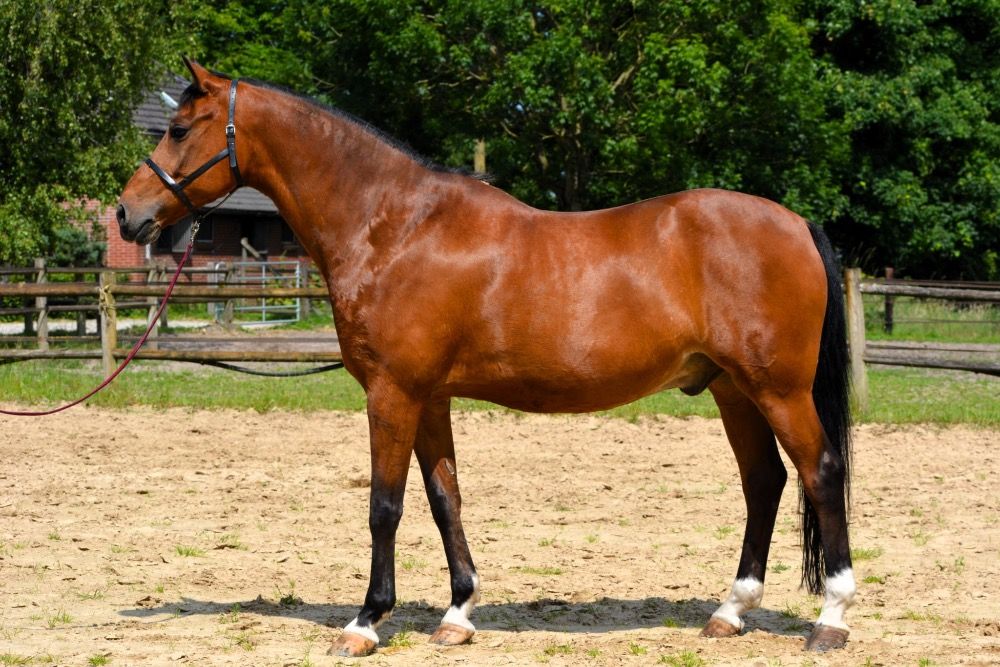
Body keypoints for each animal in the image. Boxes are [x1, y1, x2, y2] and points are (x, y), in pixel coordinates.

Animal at [117, 58, 856, 656]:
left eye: (179, 128)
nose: (128, 214)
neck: (396, 228)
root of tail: (795, 222)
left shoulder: (392, 392)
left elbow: (385, 504)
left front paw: (365, 622)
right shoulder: (430, 396)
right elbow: (446, 497)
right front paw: (458, 613)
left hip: (778, 389)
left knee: (819, 473)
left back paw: (831, 619)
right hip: (734, 389)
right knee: (764, 482)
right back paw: (730, 611)